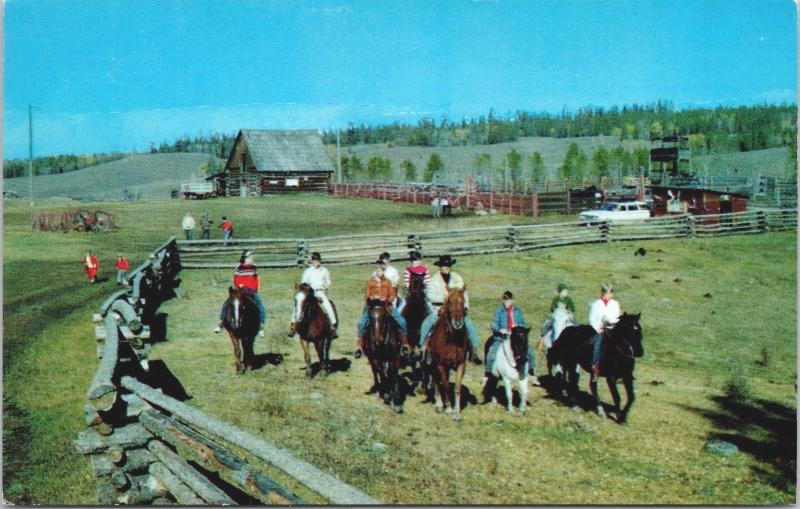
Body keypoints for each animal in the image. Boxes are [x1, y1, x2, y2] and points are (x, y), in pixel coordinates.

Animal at [428, 286, 472, 420]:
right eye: (449, 301)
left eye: (463, 301)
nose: (457, 324)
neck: (452, 340)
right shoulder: (441, 365)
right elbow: (446, 386)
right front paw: (448, 409)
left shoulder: (461, 364)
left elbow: (457, 387)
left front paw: (456, 412)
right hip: (433, 364)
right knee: (437, 382)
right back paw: (439, 404)